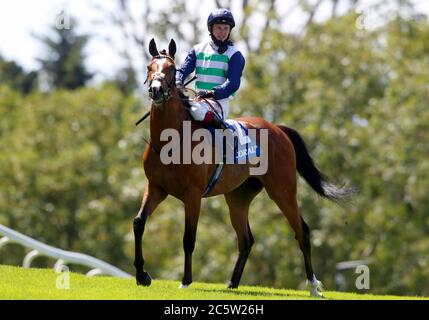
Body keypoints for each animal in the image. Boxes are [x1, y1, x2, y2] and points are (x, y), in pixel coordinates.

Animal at [134, 39, 354, 298]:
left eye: (171, 68)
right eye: (150, 66)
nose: (156, 90)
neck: (172, 139)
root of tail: (277, 128)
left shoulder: (192, 195)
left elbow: (189, 238)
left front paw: (186, 281)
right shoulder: (156, 188)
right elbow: (139, 223)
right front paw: (142, 275)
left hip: (282, 191)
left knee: (302, 231)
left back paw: (313, 286)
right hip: (238, 197)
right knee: (246, 239)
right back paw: (232, 284)